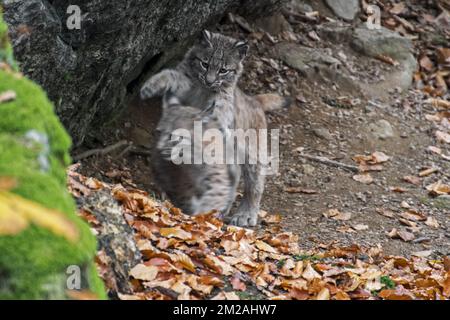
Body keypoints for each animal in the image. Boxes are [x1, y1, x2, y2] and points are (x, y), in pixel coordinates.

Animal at [141, 29, 288, 225]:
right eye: (205, 64)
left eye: (223, 70)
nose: (210, 81)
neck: (203, 89)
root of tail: (253, 99)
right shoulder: (185, 83)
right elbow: (173, 74)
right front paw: (152, 85)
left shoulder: (222, 105)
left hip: (251, 153)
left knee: (253, 184)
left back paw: (245, 213)